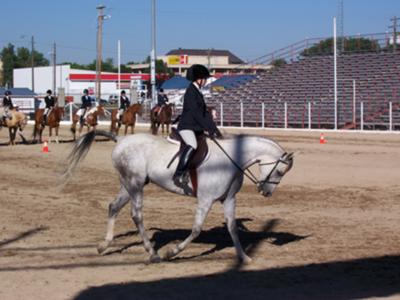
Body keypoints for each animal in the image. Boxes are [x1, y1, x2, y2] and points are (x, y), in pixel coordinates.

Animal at [64, 130, 292, 262]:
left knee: (113, 207)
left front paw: (244, 257)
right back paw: (153, 253)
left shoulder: (228, 199)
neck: (231, 160)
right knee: (136, 214)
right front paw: (172, 252)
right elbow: (196, 229)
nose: (266, 192)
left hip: (128, 185)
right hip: (135, 184)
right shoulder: (205, 200)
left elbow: (232, 228)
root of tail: (121, 139)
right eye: (280, 171)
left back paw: (104, 245)